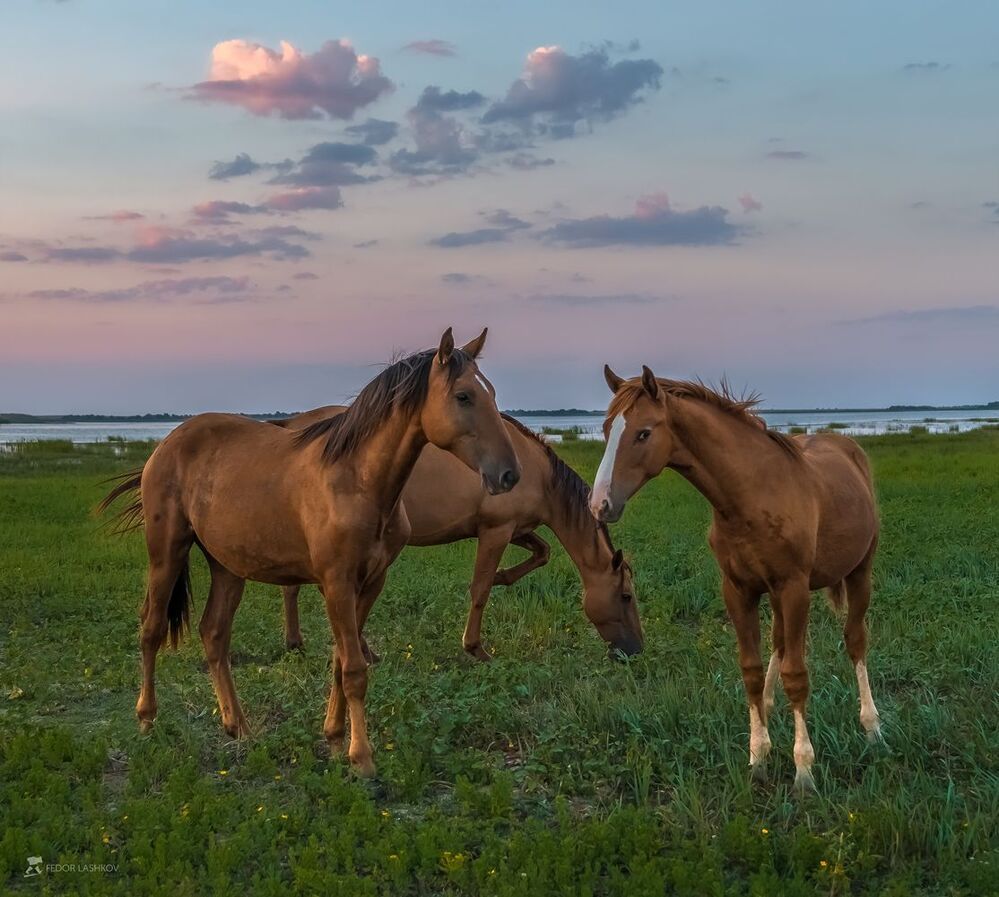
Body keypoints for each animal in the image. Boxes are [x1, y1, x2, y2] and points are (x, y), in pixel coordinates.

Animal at [99, 328, 520, 777]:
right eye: (463, 396)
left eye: (491, 392)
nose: (509, 474)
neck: (357, 481)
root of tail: (166, 445)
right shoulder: (336, 583)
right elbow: (353, 668)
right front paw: (362, 757)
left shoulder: (370, 582)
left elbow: (340, 661)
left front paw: (335, 739)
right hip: (167, 553)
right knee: (151, 629)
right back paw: (147, 720)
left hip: (227, 567)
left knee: (214, 634)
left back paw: (238, 726)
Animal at [272, 409, 644, 660]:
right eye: (626, 596)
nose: (636, 649)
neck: (535, 471)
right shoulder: (496, 530)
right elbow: (480, 589)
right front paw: (475, 647)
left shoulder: (516, 529)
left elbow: (542, 553)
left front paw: (502, 576)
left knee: (294, 587)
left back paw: (298, 643)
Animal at [589, 365, 881, 792]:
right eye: (607, 430)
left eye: (643, 433)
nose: (600, 505)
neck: (752, 496)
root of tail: (848, 449)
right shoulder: (739, 590)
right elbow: (751, 670)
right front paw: (758, 757)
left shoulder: (794, 588)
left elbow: (798, 674)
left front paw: (804, 771)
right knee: (779, 643)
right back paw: (772, 706)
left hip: (859, 573)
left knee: (856, 641)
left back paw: (872, 726)